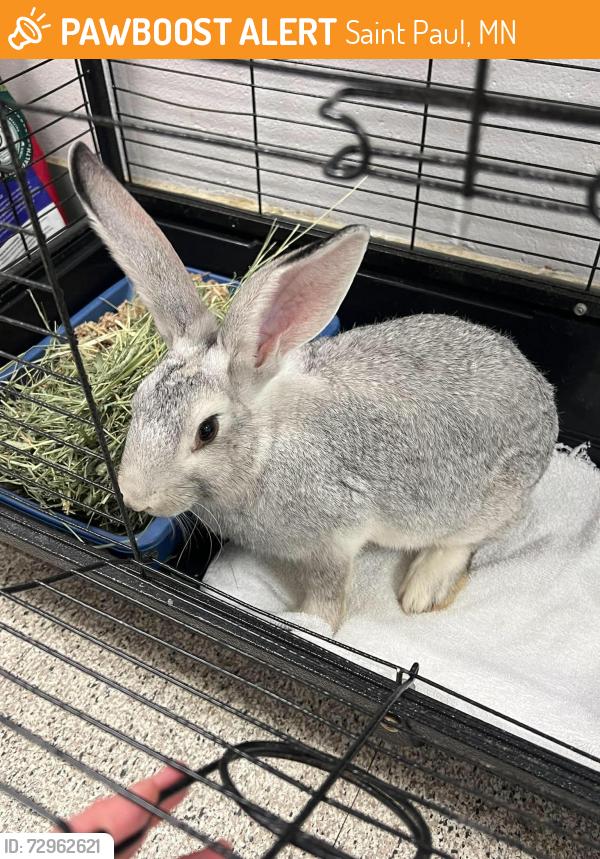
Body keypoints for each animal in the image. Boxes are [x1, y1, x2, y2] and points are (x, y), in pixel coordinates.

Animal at [69, 142, 559, 633]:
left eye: (207, 431)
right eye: (138, 400)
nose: (135, 495)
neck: (262, 451)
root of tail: (542, 392)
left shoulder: (333, 539)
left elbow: (329, 591)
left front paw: (310, 622)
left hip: (486, 503)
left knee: (465, 541)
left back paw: (421, 589)